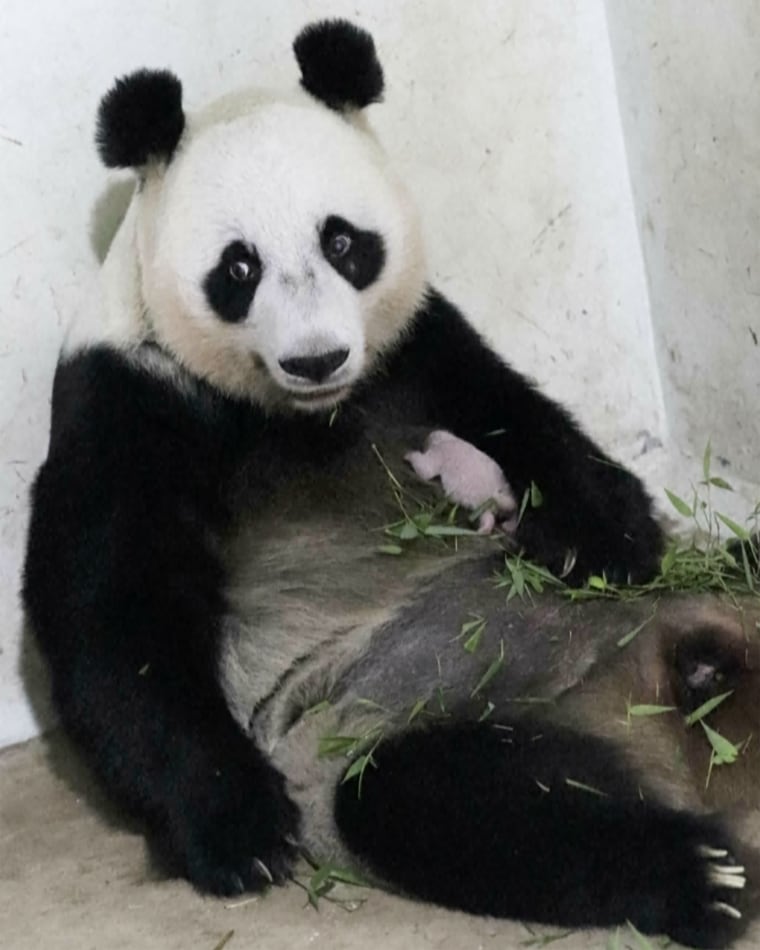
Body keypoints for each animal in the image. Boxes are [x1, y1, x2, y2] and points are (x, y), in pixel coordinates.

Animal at [22, 19, 754, 949]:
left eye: (342, 242)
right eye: (238, 269)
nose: (317, 357)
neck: (298, 416)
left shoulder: (416, 350)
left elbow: (519, 418)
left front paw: (608, 540)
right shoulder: (127, 400)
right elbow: (114, 617)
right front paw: (241, 833)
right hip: (400, 724)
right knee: (461, 807)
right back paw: (698, 874)